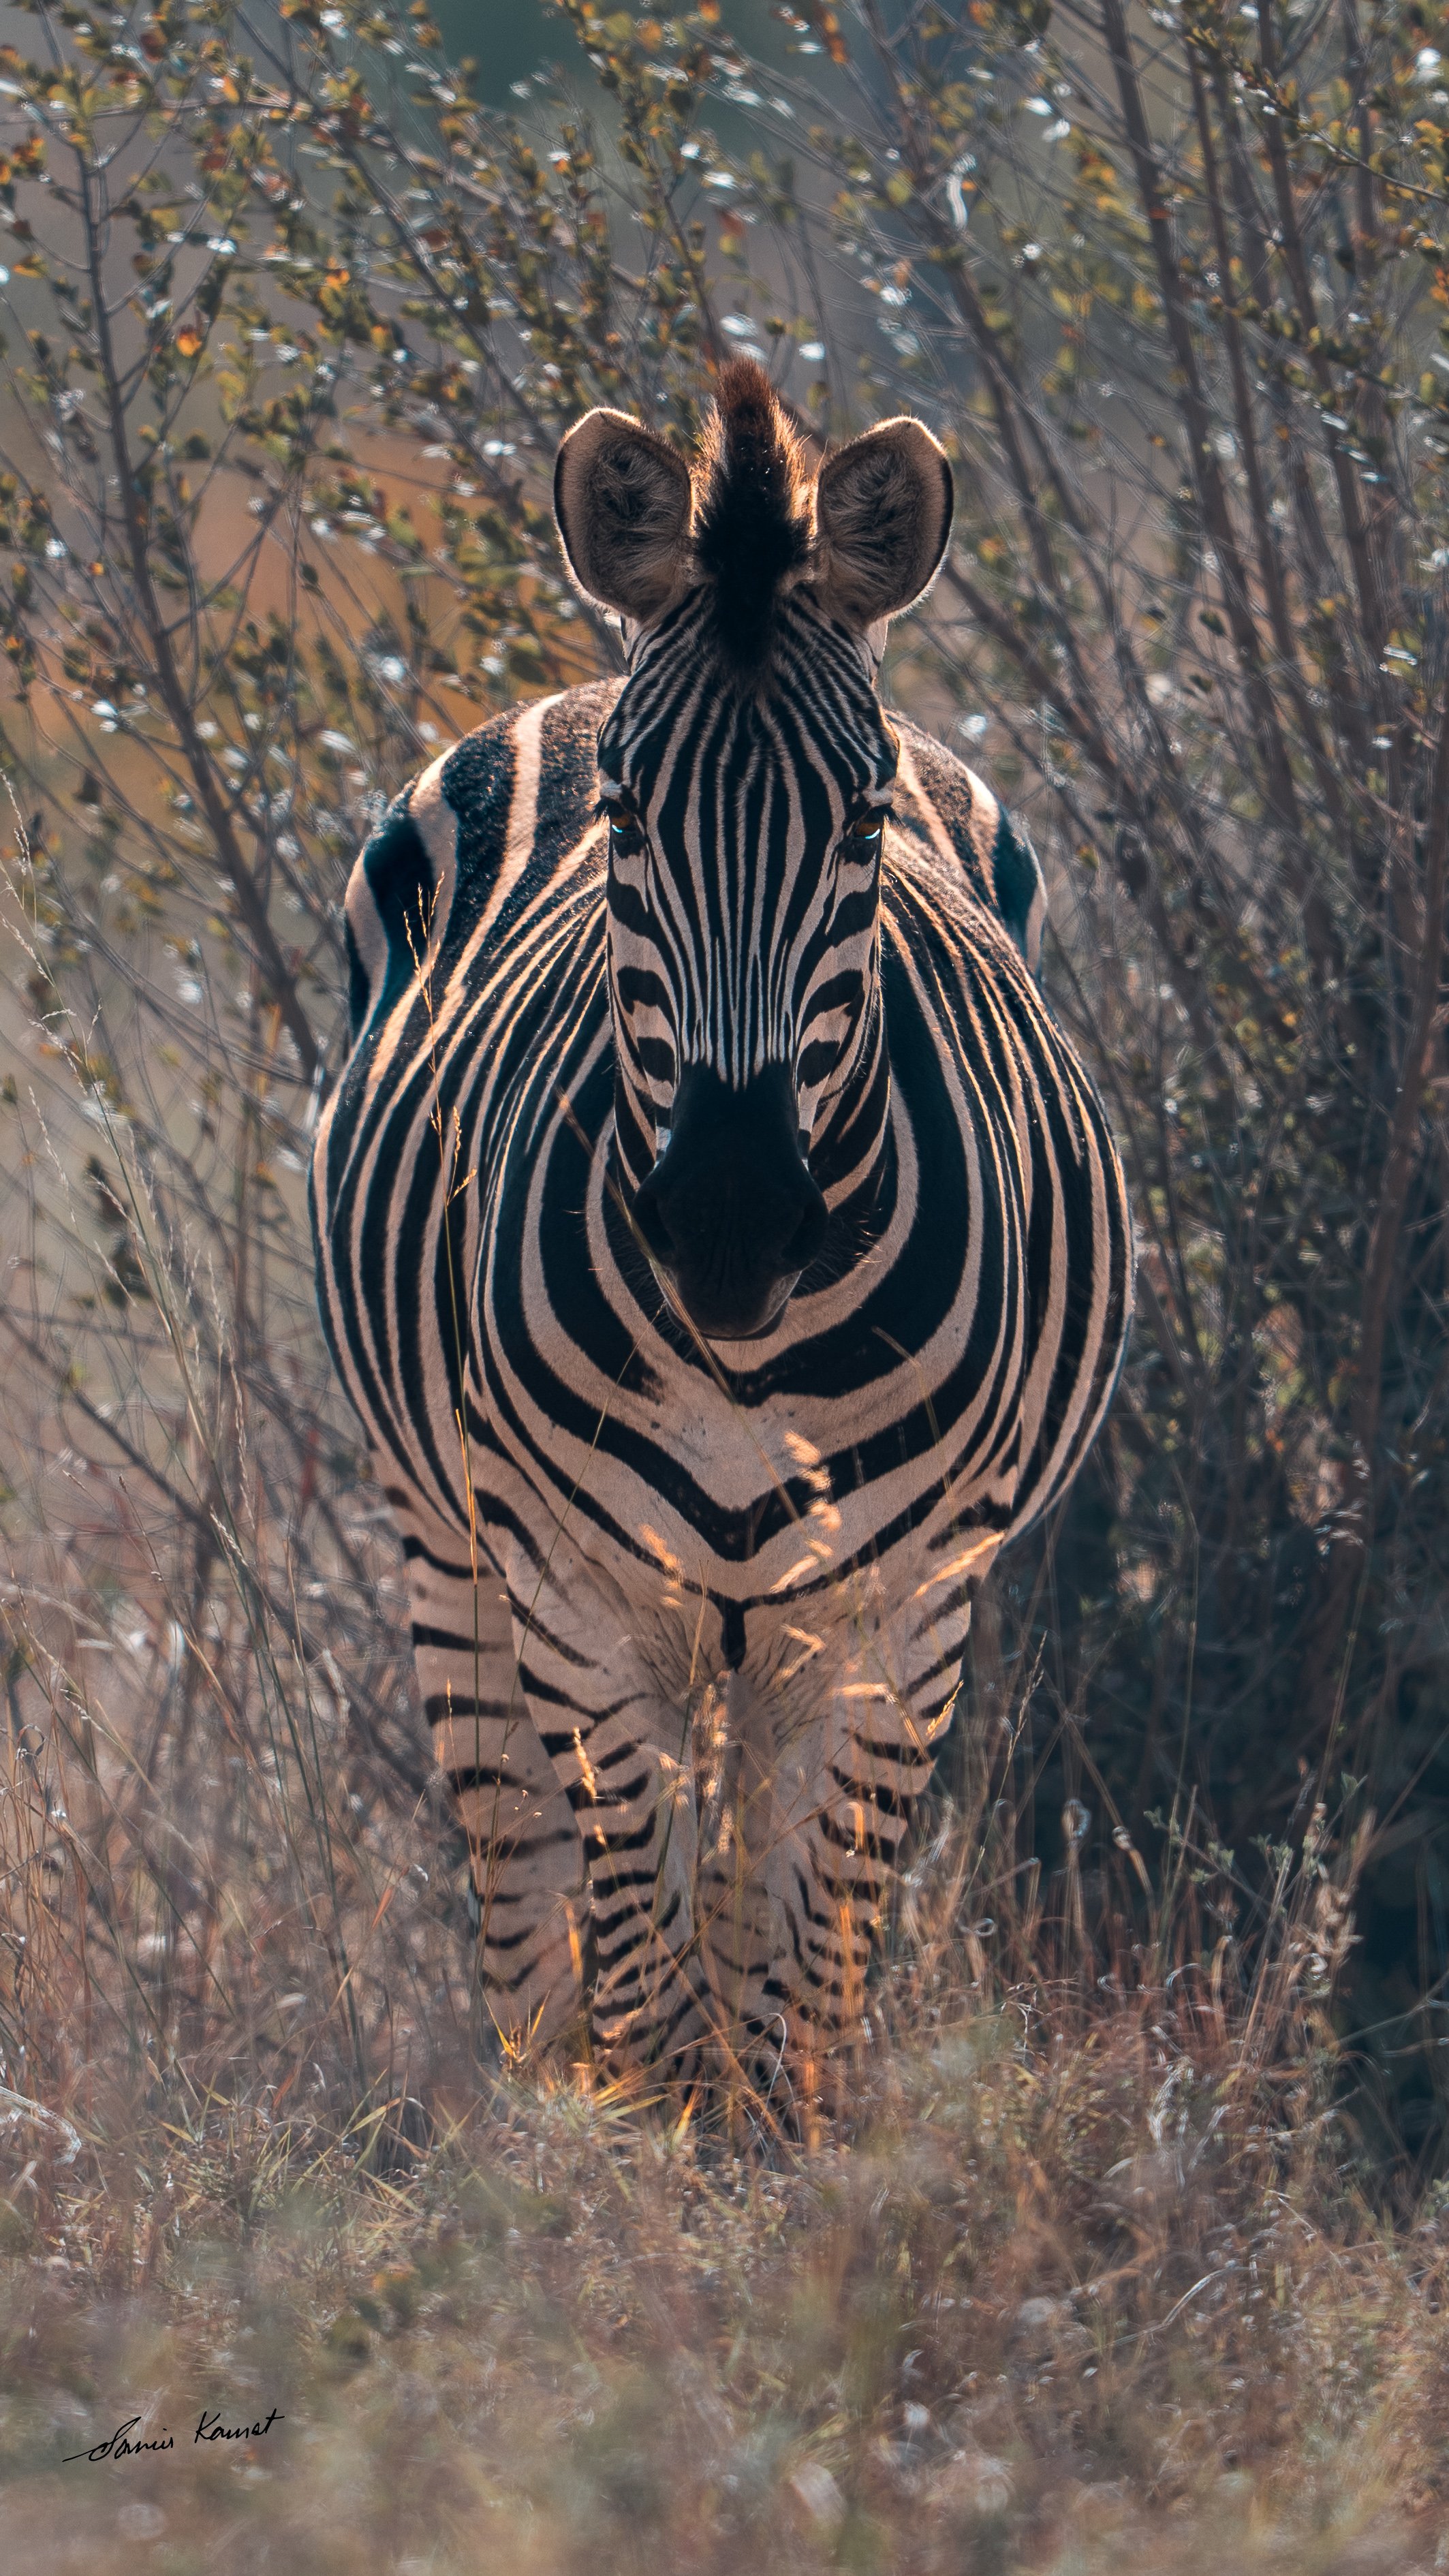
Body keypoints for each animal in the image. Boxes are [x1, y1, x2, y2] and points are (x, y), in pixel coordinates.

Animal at [312, 359, 1132, 2091]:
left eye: (863, 819)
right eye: (624, 815)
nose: (730, 1231)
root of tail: (558, 686)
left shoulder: (900, 1624)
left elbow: (789, 2017)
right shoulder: (578, 1611)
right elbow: (650, 2017)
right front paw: (638, 2166)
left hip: (778, 1648)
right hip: (449, 1554)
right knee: (527, 1934)